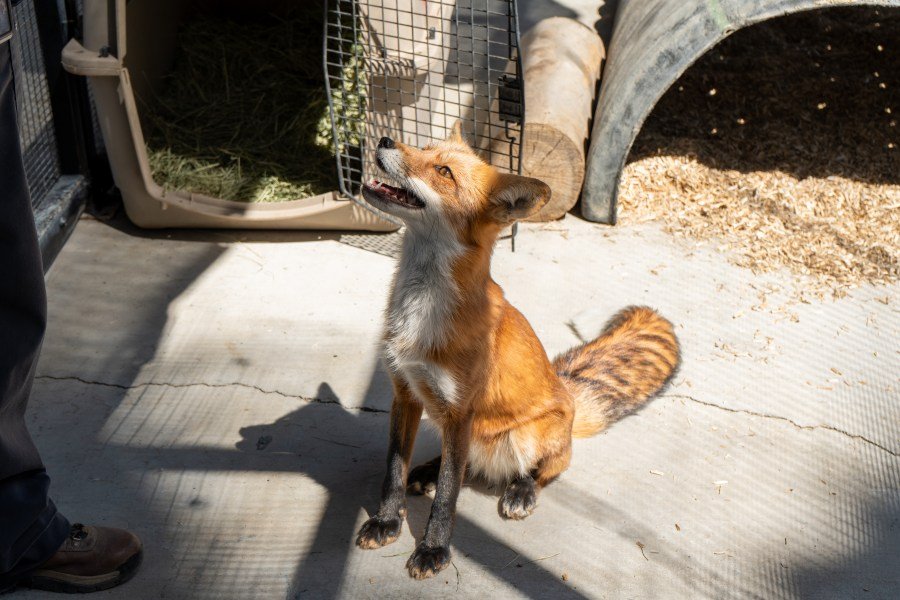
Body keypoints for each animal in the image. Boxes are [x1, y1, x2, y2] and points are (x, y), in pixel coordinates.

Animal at [356, 126, 680, 580]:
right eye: (425, 147)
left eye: (444, 171)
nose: (385, 140)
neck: (420, 313)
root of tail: (566, 390)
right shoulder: (405, 392)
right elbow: (393, 471)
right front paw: (387, 520)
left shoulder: (461, 411)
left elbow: (448, 498)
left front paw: (434, 549)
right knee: (462, 464)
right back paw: (428, 471)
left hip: (522, 436)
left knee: (549, 467)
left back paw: (521, 490)